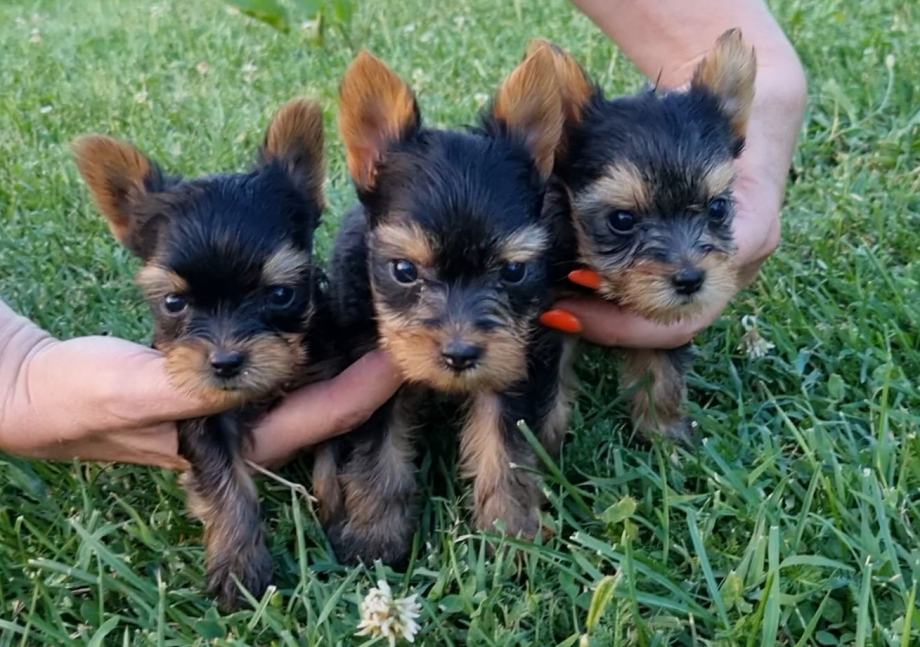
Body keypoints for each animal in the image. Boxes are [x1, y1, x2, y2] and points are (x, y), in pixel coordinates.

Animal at [75, 98, 328, 612]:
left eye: (280, 294)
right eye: (174, 303)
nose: (226, 362)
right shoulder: (197, 412)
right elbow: (221, 477)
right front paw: (239, 567)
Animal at [314, 45, 576, 564]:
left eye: (512, 272)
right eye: (403, 270)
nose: (460, 354)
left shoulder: (509, 360)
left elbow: (505, 445)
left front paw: (512, 534)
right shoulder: (368, 371)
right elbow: (377, 452)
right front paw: (374, 536)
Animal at [544, 31, 752, 446]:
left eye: (718, 208)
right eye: (622, 220)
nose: (690, 280)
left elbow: (663, 376)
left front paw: (665, 438)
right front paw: (538, 451)